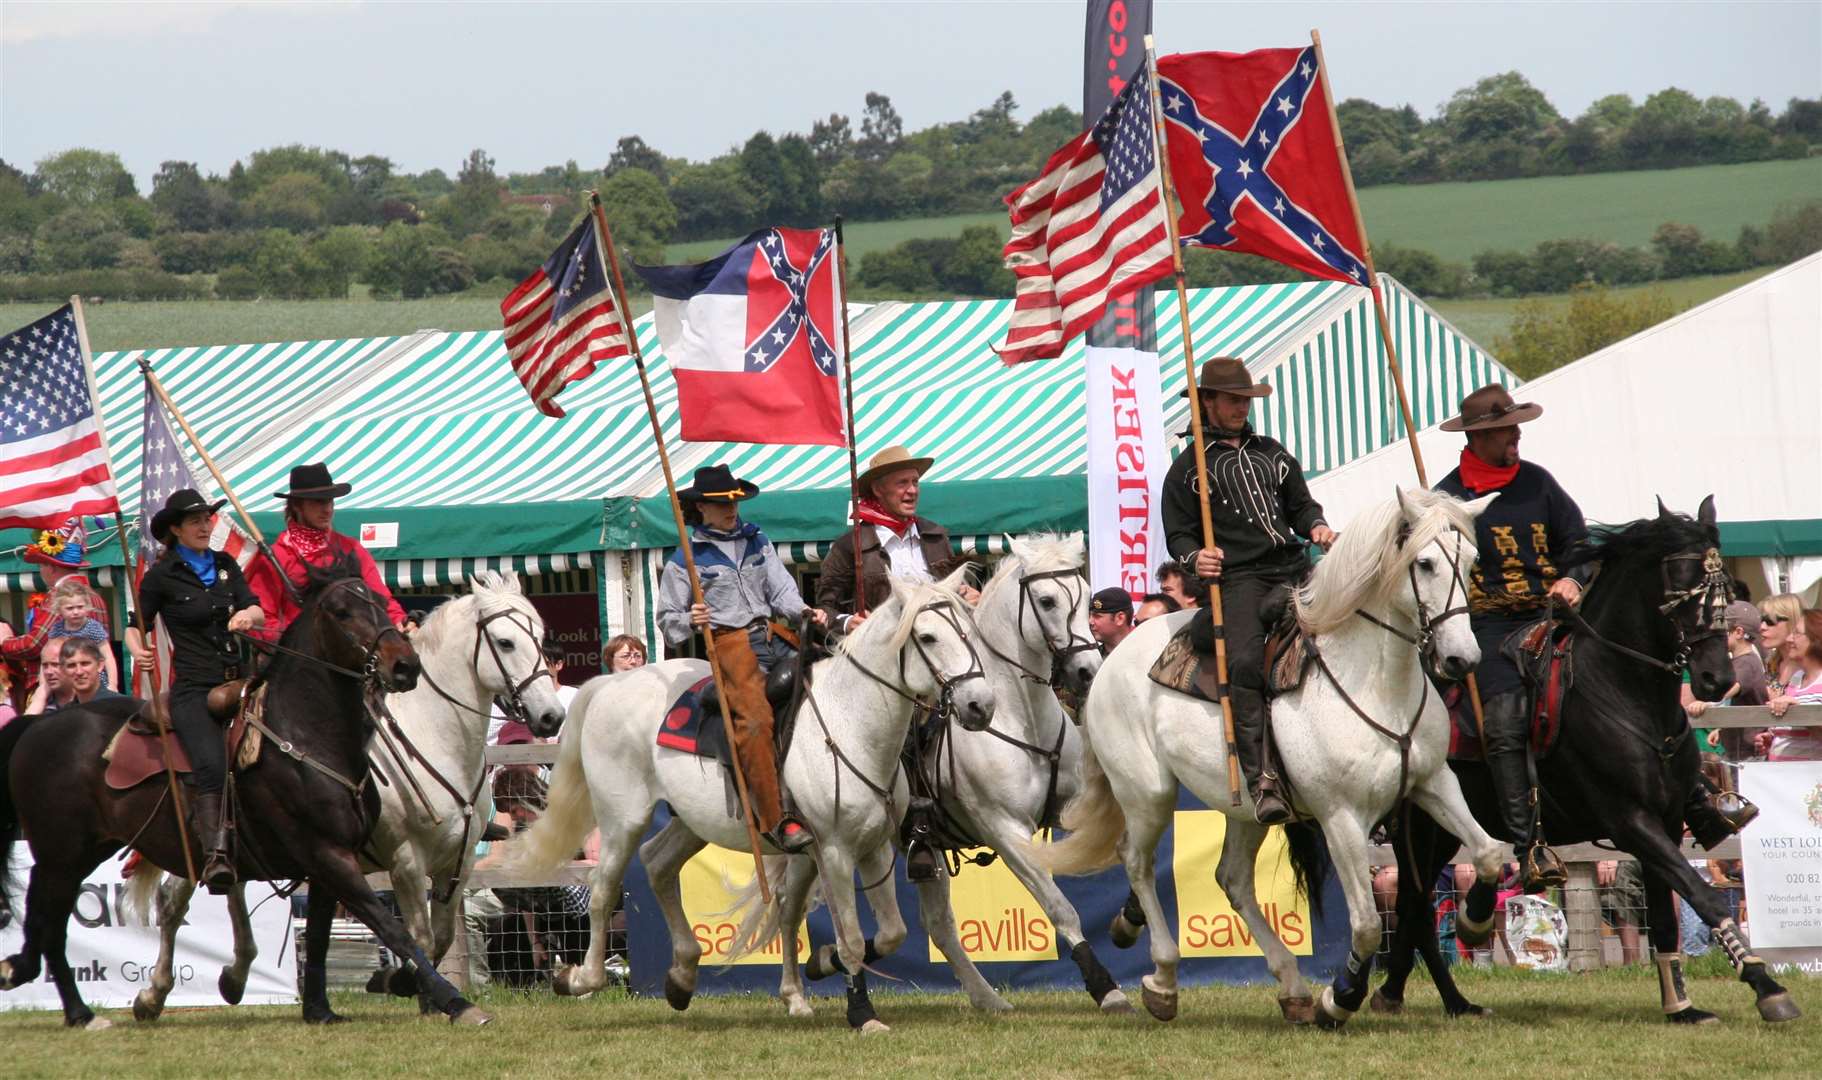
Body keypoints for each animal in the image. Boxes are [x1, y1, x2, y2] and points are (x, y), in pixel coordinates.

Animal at [0, 557, 491, 1027]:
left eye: (378, 600)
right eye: (342, 611)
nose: (405, 665)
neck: (308, 734)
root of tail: (40, 725)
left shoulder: (349, 861)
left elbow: (322, 938)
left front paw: (319, 1009)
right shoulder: (338, 855)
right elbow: (397, 931)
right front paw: (453, 1001)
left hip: (87, 851)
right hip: (63, 852)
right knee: (57, 923)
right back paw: (84, 1010)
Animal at [125, 568, 561, 1012]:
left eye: (541, 636)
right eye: (505, 642)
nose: (551, 716)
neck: (434, 737)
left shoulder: (458, 863)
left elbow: (441, 939)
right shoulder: (405, 861)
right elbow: (419, 939)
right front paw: (396, 981)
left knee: (230, 891)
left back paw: (233, 976)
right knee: (174, 902)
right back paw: (154, 992)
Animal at [513, 568, 998, 1034]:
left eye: (969, 633)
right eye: (928, 637)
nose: (981, 705)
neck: (849, 724)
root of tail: (610, 684)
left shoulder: (873, 846)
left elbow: (891, 932)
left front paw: (820, 964)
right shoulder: (835, 851)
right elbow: (852, 939)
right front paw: (862, 1013)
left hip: (690, 821)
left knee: (657, 863)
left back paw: (682, 976)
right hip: (622, 818)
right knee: (601, 887)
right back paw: (581, 978)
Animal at [1042, 488, 1508, 1027]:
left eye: (1470, 561)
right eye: (1426, 563)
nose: (1461, 659)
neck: (1374, 681)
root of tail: (1108, 658)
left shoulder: (1434, 782)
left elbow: (1490, 852)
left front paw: (1475, 921)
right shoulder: (1341, 817)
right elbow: (1368, 924)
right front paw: (1340, 998)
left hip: (1246, 809)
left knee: (1232, 879)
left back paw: (1291, 986)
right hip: (1148, 794)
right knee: (1136, 861)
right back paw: (1162, 980)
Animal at [1377, 495, 1792, 1019]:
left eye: (1722, 592)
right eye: (1679, 589)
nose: (1715, 678)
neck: (1623, 690)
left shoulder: (1665, 820)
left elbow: (1665, 914)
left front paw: (1681, 1003)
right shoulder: (1630, 821)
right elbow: (1703, 896)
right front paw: (1765, 984)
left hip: (1442, 833)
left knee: (1413, 909)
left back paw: (1431, 997)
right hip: (1418, 829)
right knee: (1412, 906)